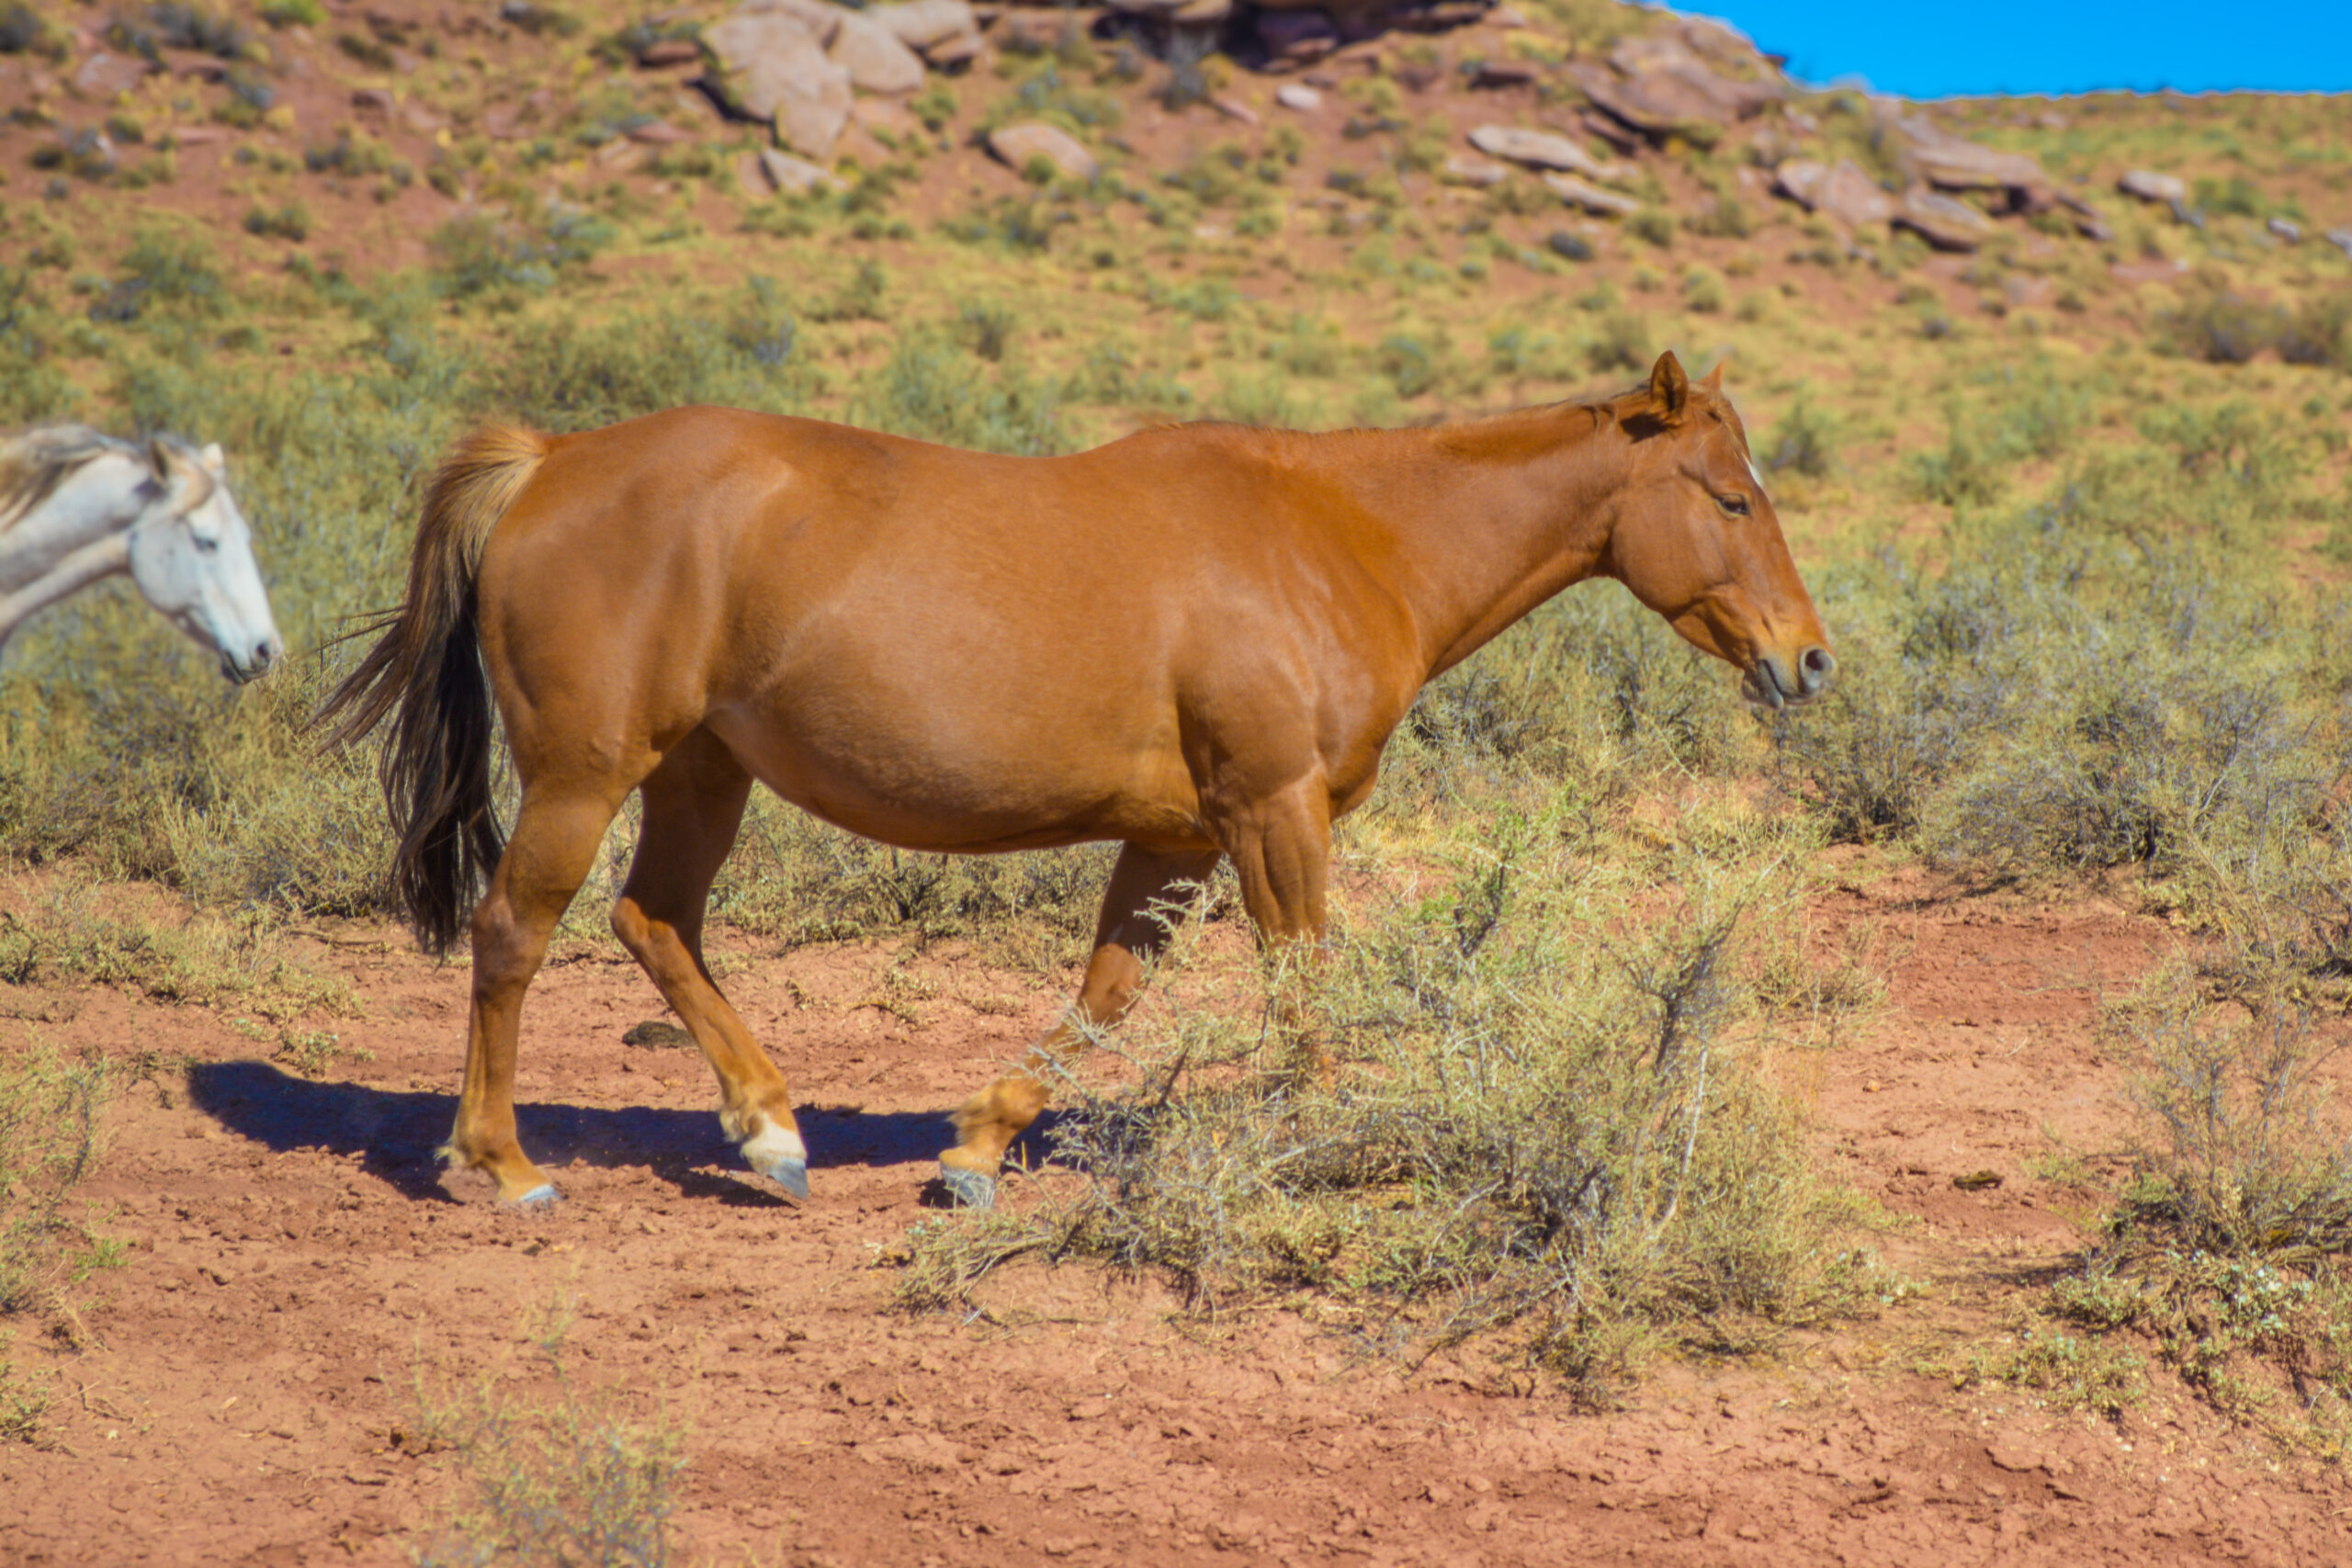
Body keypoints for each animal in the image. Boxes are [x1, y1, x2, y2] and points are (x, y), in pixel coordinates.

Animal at [318, 351, 1833, 1211]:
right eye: (1732, 496)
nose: (1808, 659)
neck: (1339, 537)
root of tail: (550, 462)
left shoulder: (1178, 842)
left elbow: (1104, 1000)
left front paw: (975, 1150)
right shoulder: (1273, 814)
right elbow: (1302, 989)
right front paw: (1340, 1140)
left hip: (701, 775)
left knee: (656, 922)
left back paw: (771, 1131)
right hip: (586, 776)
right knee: (516, 932)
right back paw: (503, 1164)